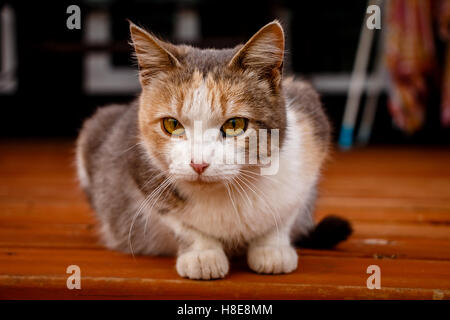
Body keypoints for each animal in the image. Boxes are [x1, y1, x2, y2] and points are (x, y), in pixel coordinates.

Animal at [76, 20, 352, 280]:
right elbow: (180, 223)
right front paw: (203, 254)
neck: (228, 193)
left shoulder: (311, 132)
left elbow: (286, 214)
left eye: (235, 125)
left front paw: (272, 248)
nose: (198, 164)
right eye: (171, 124)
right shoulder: (138, 165)